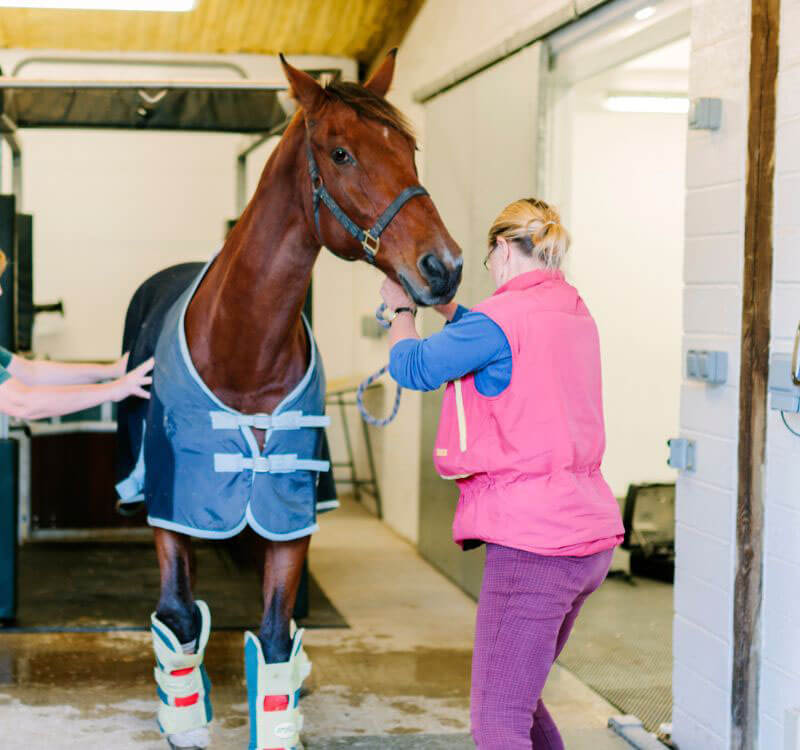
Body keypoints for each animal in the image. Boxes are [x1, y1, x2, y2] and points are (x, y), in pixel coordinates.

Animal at [115, 54, 460, 750]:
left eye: (408, 149)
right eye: (341, 152)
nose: (444, 267)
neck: (244, 349)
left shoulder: (289, 513)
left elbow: (275, 638)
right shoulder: (175, 506)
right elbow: (178, 616)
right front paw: (184, 720)